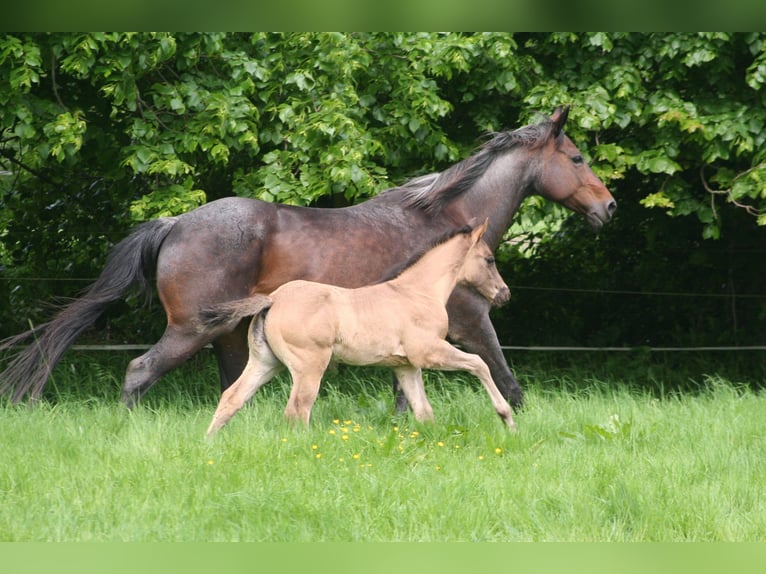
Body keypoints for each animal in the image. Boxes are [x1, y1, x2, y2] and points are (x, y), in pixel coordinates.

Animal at [0, 104, 612, 410]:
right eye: (577, 158)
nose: (608, 207)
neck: (447, 221)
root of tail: (174, 223)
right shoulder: (471, 321)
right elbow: (508, 383)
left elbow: (403, 395)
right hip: (191, 330)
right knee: (139, 372)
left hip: (230, 334)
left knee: (232, 387)